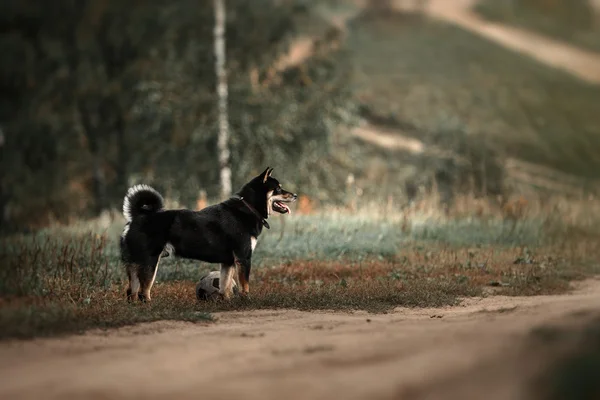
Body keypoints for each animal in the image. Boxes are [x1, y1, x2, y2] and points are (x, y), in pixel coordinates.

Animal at [121, 167, 298, 302]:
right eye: (278, 188)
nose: (295, 195)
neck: (249, 208)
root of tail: (137, 216)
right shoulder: (243, 258)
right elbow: (244, 285)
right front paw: (246, 301)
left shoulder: (228, 262)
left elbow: (225, 285)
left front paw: (227, 302)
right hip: (150, 261)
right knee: (143, 292)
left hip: (135, 263)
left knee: (131, 291)